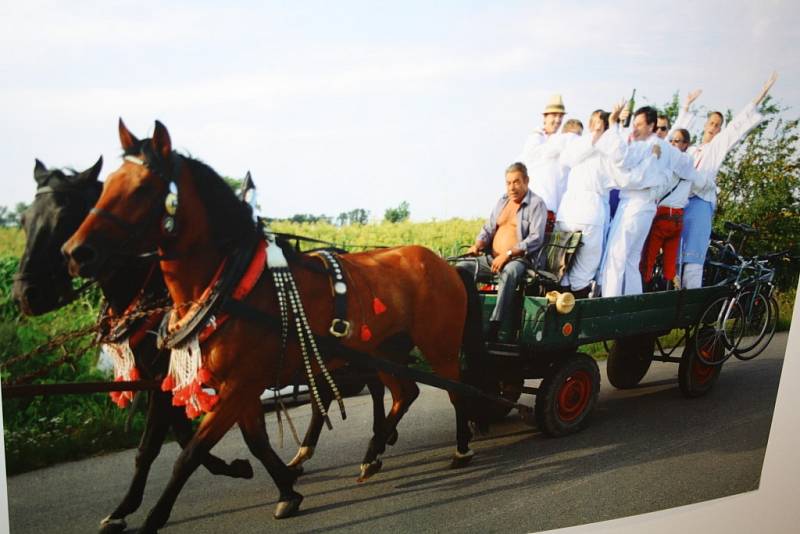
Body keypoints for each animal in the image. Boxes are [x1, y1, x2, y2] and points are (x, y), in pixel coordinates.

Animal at [13, 159, 256, 534]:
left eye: (65, 217)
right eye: (25, 220)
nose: (25, 295)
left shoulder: (166, 377)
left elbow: (151, 446)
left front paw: (128, 507)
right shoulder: (164, 380)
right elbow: (180, 437)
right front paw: (228, 466)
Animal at [62, 120, 490, 532]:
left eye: (141, 188)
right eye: (107, 185)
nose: (75, 253)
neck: (232, 285)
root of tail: (443, 263)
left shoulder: (238, 385)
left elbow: (189, 453)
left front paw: (152, 517)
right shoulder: (238, 386)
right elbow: (252, 441)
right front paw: (287, 488)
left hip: (438, 346)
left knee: (456, 390)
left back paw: (460, 447)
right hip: (384, 351)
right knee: (405, 392)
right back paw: (372, 454)